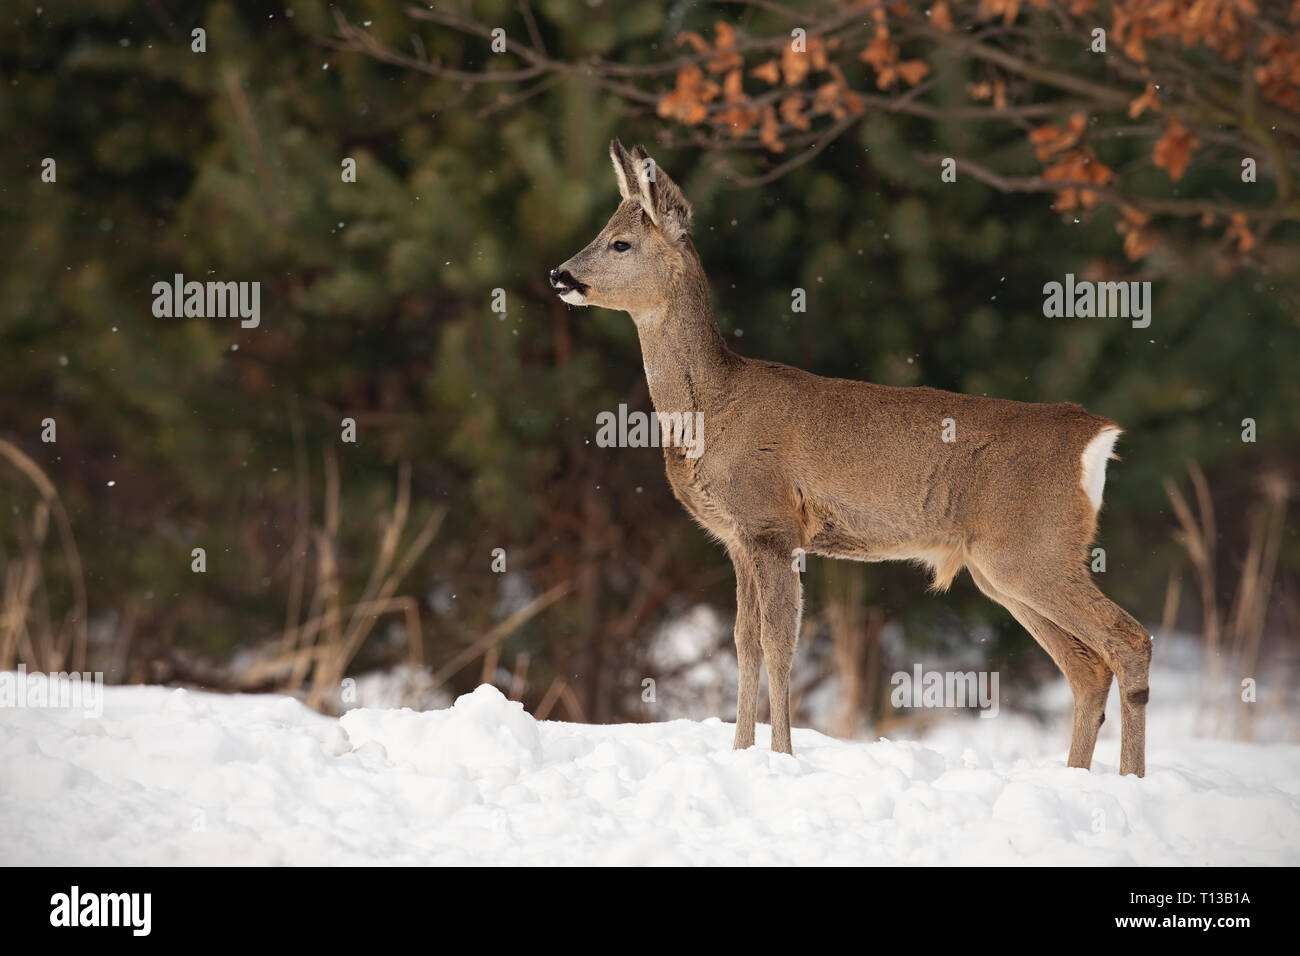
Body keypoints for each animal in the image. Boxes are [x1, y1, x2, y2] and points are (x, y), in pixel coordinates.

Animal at [548, 140, 1149, 780]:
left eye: (620, 243)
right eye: (602, 230)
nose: (560, 274)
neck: (712, 408)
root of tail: (1095, 436)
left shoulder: (772, 523)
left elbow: (778, 642)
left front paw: (782, 756)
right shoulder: (736, 538)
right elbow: (743, 641)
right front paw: (740, 753)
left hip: (1034, 549)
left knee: (1128, 640)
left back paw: (1131, 780)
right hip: (1002, 567)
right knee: (1087, 667)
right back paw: (1080, 777)